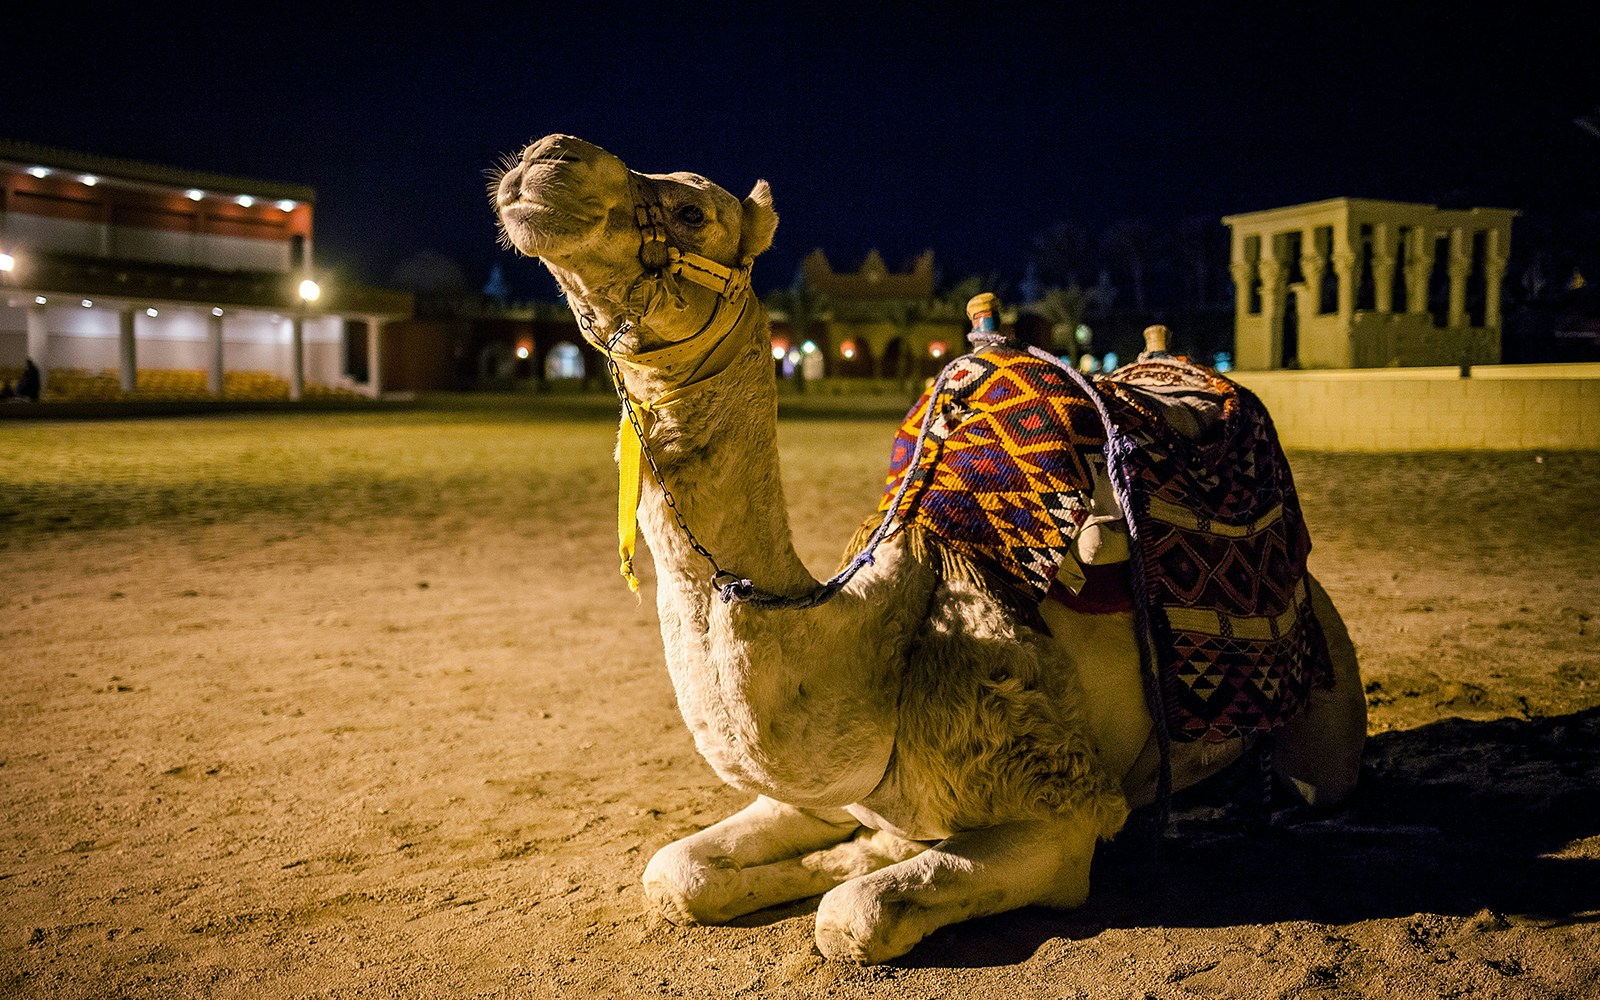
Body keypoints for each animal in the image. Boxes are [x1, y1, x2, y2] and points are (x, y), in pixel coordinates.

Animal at [491, 134, 1366, 964]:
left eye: (693, 212)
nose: (545, 160)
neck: (875, 642)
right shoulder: (817, 791)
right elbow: (675, 873)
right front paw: (860, 849)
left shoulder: (1064, 819)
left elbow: (854, 917)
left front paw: (865, 867)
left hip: (1326, 726)